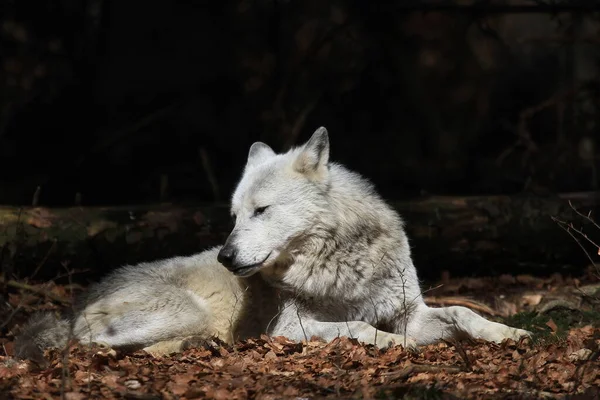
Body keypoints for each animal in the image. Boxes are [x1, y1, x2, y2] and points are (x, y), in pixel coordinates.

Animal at [14, 126, 528, 360]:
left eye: (260, 211)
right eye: (234, 216)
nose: (225, 256)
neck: (339, 263)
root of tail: (74, 306)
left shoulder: (411, 310)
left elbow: (462, 312)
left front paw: (509, 333)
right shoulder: (289, 326)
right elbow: (359, 327)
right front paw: (392, 343)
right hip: (183, 312)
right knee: (87, 344)